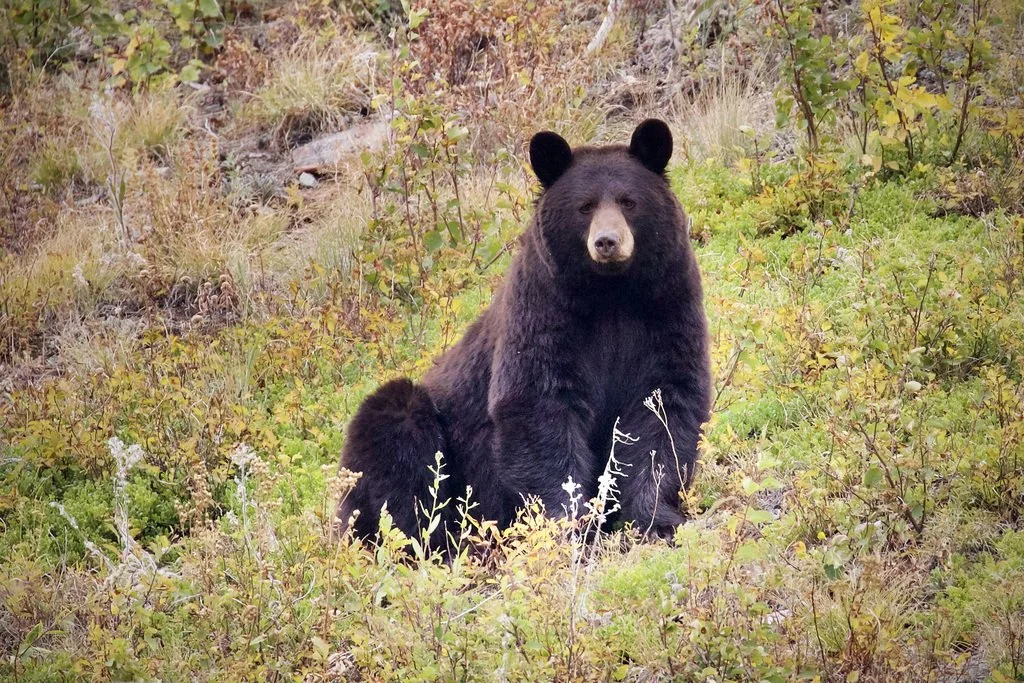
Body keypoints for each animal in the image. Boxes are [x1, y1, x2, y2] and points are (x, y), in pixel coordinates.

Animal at [336, 119, 711, 549]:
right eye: (584, 206)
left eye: (628, 201)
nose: (607, 242)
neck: (610, 295)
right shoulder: (542, 310)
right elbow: (537, 405)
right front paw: (571, 525)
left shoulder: (667, 306)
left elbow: (665, 409)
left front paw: (658, 518)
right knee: (395, 443)